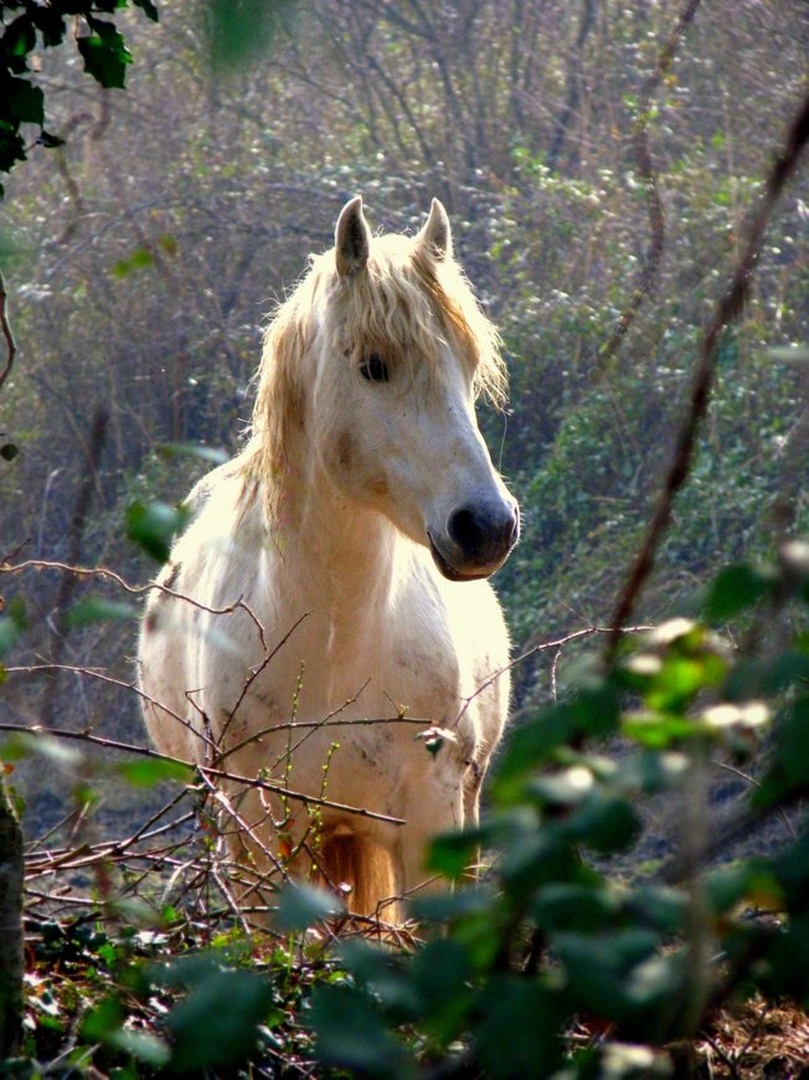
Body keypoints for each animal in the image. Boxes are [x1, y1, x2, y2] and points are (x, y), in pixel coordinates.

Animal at [138, 196, 519, 922]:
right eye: (373, 364)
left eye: (467, 363)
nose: (485, 526)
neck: (337, 639)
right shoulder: (258, 840)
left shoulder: (430, 821)